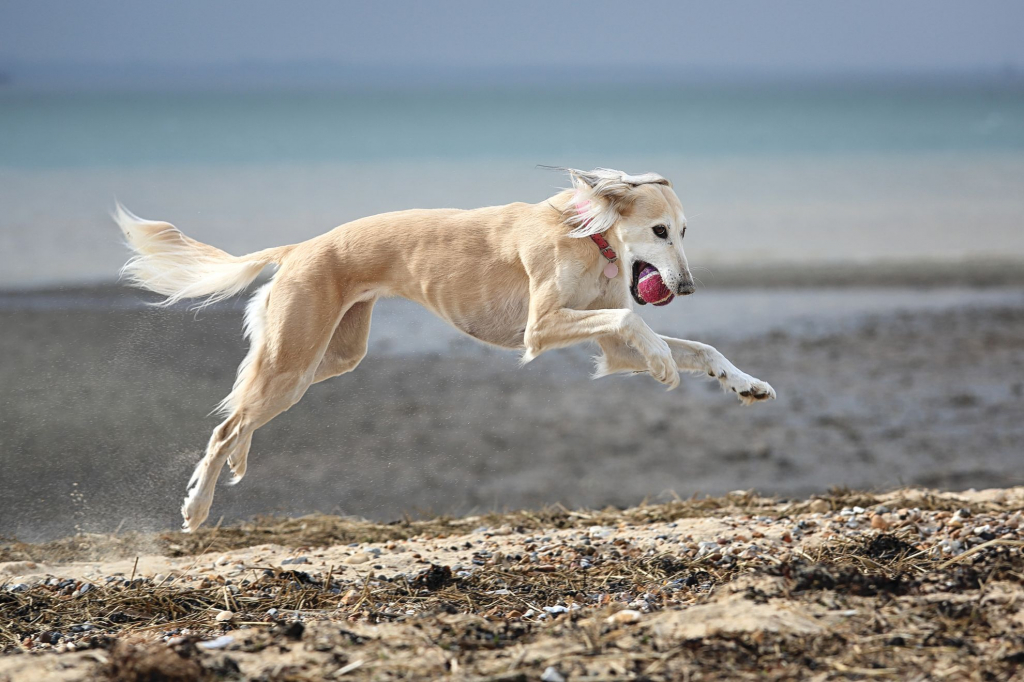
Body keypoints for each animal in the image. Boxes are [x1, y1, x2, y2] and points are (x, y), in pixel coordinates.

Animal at [117, 166, 774, 528]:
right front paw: (664, 364)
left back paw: (234, 464)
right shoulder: (542, 328)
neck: (588, 235)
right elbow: (639, 329)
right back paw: (196, 506)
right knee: (227, 422)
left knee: (240, 411)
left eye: (684, 232)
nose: (686, 287)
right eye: (659, 231)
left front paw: (744, 383)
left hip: (329, 358)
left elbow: (697, 347)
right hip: (293, 360)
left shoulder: (610, 346)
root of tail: (301, 246)